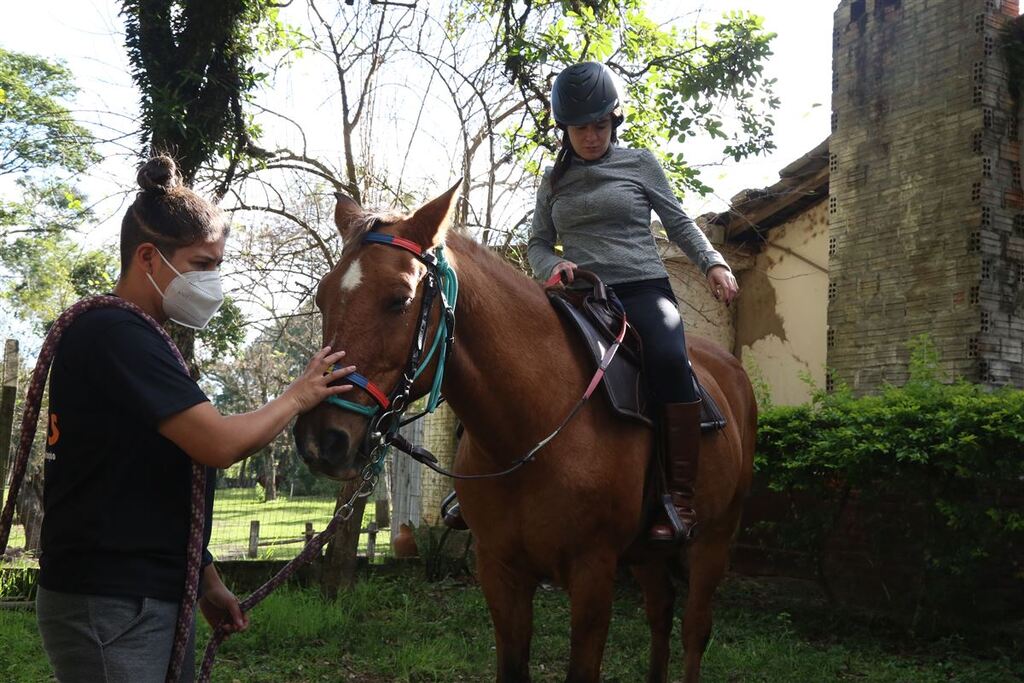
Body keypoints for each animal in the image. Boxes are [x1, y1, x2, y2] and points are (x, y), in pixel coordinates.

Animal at [292, 183, 757, 683]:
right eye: (322, 297)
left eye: (398, 299)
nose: (321, 440)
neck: (531, 429)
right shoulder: (501, 573)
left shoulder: (593, 575)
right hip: (647, 554)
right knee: (660, 611)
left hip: (713, 538)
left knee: (694, 628)